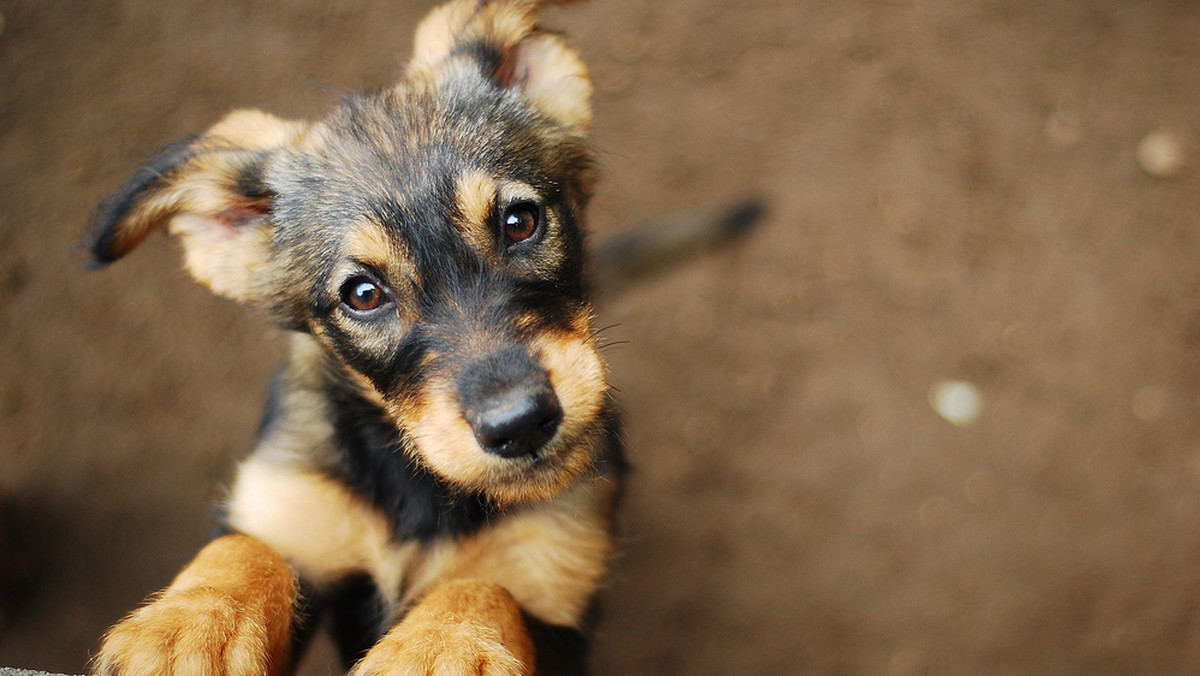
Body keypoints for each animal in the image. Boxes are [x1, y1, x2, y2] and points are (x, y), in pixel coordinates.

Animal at [87, 2, 619, 672]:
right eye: (363, 295)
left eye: (520, 222)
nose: (520, 424)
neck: (420, 489)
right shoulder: (291, 505)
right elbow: (246, 549)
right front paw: (189, 625)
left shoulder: (555, 595)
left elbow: (481, 586)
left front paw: (437, 647)